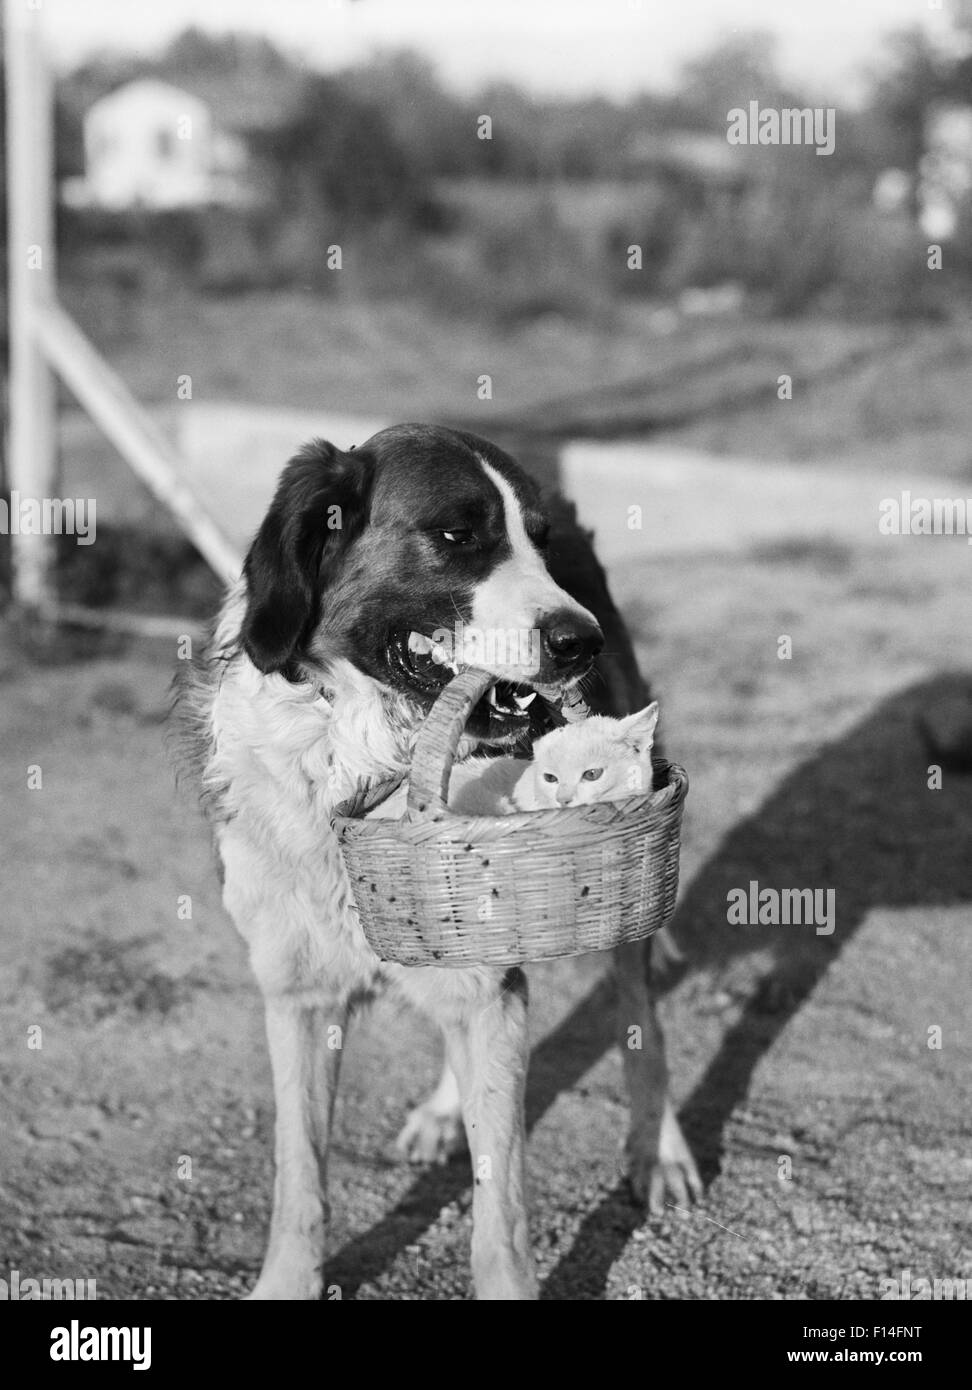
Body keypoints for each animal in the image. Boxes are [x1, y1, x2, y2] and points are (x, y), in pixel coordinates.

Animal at [175, 422, 703, 1301]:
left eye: (538, 541)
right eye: (458, 535)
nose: (580, 640)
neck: (362, 760)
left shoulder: (488, 987)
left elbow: (502, 1212)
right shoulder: (297, 993)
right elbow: (299, 1175)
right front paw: (287, 1280)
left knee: (641, 1016)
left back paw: (656, 1149)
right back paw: (447, 1110)